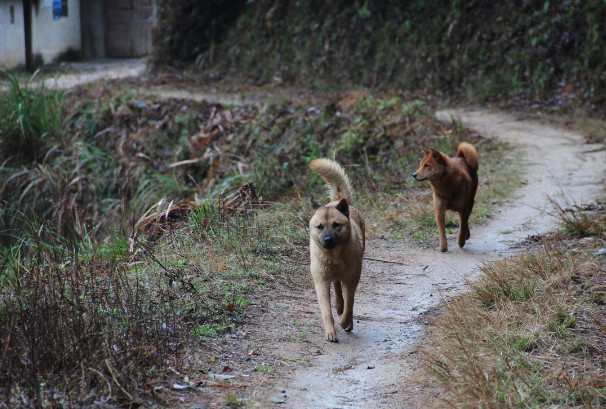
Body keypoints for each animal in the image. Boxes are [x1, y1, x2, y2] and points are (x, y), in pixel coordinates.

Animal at [308, 158, 366, 342]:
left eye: (336, 225)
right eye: (320, 226)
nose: (328, 240)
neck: (334, 257)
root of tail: (339, 200)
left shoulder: (352, 279)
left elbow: (350, 304)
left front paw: (345, 322)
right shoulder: (321, 281)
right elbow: (326, 310)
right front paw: (330, 332)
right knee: (336, 286)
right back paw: (338, 305)